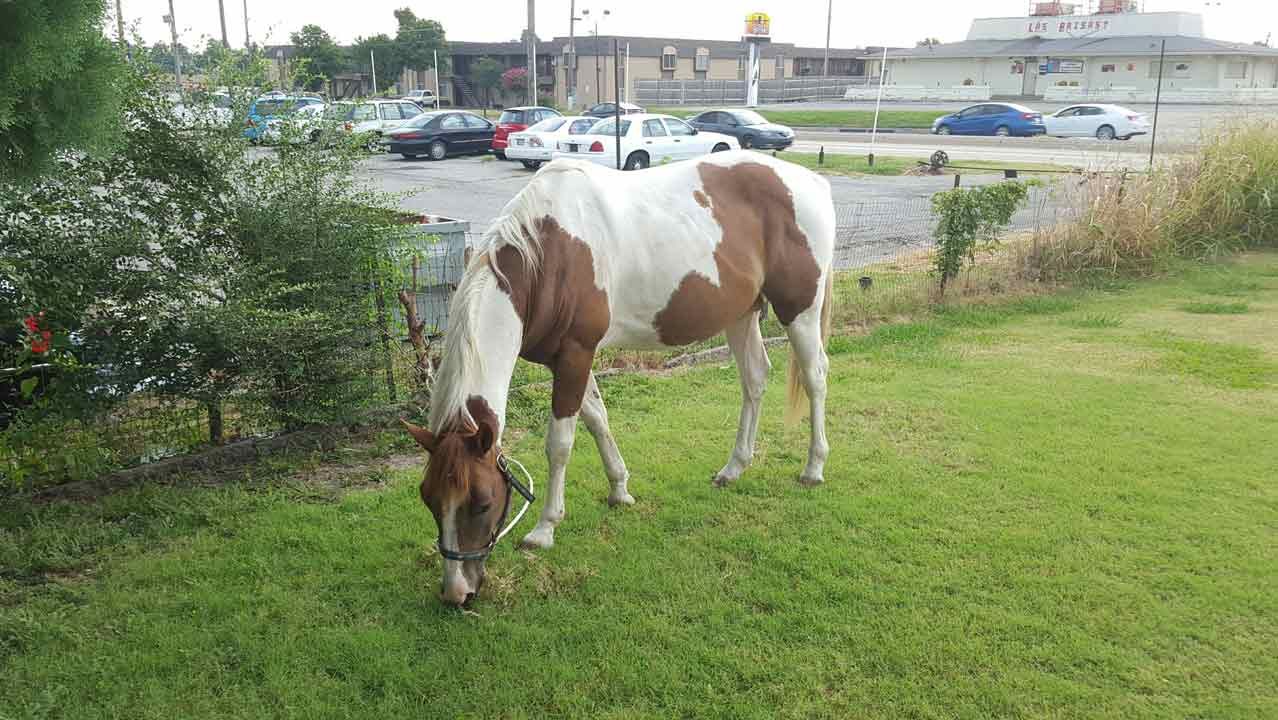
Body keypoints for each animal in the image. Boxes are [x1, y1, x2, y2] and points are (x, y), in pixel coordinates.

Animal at [402, 150, 835, 606]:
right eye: (429, 498)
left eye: (482, 502)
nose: (457, 592)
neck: (549, 252)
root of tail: (812, 183)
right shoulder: (567, 359)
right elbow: (597, 418)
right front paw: (620, 488)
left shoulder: (576, 353)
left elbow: (560, 444)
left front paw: (545, 528)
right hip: (741, 313)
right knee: (754, 378)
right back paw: (734, 468)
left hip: (799, 311)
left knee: (815, 377)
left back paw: (813, 467)